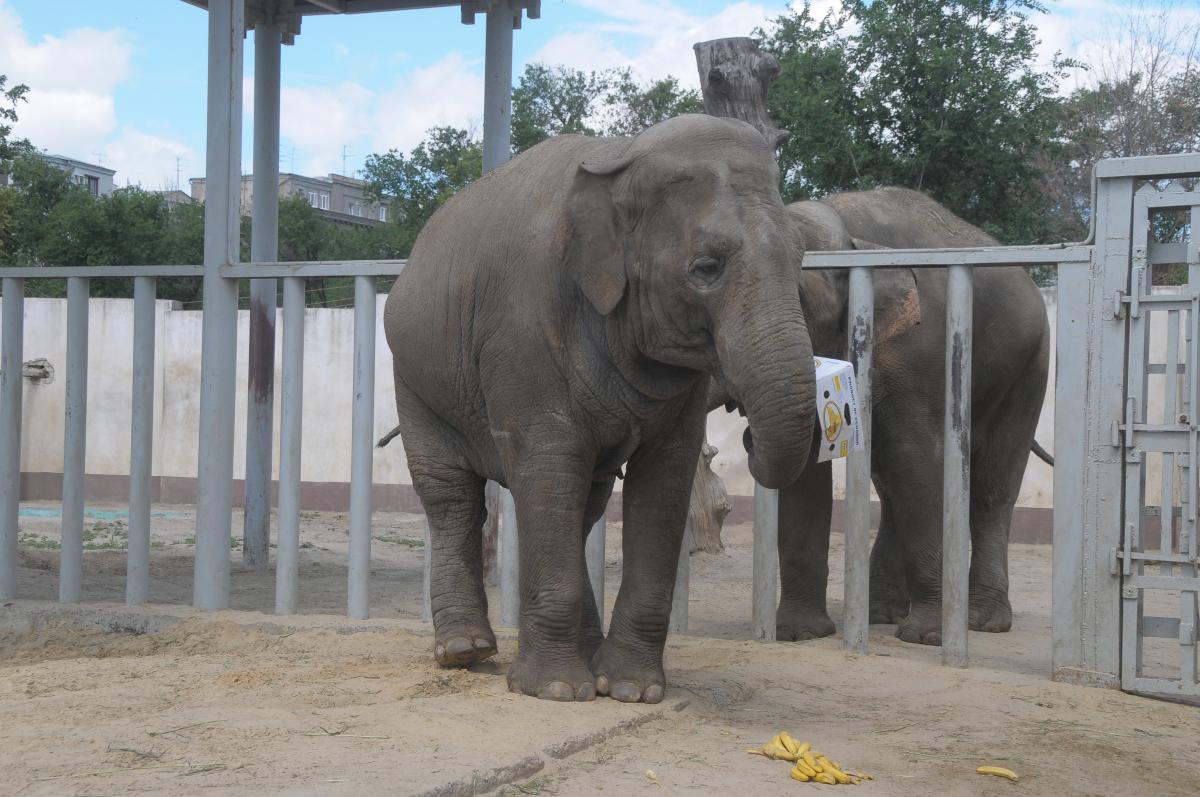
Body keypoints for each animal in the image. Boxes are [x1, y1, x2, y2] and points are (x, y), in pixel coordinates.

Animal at [379, 115, 820, 700]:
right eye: (706, 267)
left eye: (800, 260)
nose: (746, 432)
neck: (622, 155)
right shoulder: (522, 336)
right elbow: (547, 466)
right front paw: (556, 691)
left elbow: (664, 481)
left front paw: (632, 690)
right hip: (415, 380)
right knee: (452, 496)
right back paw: (463, 652)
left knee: (583, 504)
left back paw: (583, 655)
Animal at [720, 188, 1051, 648]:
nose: (747, 439)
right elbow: (808, 472)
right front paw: (799, 633)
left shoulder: (917, 350)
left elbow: (917, 458)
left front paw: (926, 637)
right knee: (893, 489)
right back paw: (880, 614)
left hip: (1029, 366)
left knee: (989, 485)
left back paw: (981, 621)